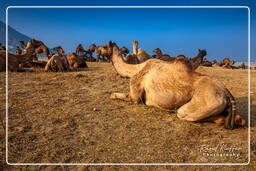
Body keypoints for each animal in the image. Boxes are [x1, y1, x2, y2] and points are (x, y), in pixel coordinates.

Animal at [109, 45, 245, 130]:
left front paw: (112, 95)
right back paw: (236, 120)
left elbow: (128, 97)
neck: (136, 68)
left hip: (208, 102)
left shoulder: (135, 88)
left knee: (183, 113)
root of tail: (226, 92)